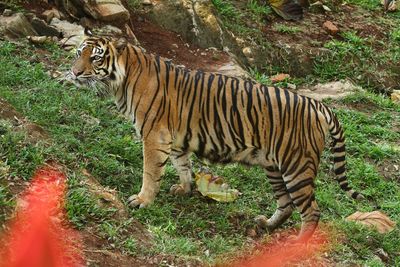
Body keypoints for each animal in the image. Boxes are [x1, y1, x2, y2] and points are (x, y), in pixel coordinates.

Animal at [68, 34, 362, 242]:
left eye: (95, 59)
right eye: (78, 53)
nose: (75, 72)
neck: (122, 79)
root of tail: (319, 105)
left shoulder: (154, 136)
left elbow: (150, 173)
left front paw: (142, 200)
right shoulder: (174, 139)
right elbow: (183, 165)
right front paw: (185, 188)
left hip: (297, 166)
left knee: (311, 211)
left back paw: (298, 243)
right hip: (275, 167)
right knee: (287, 204)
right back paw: (266, 224)